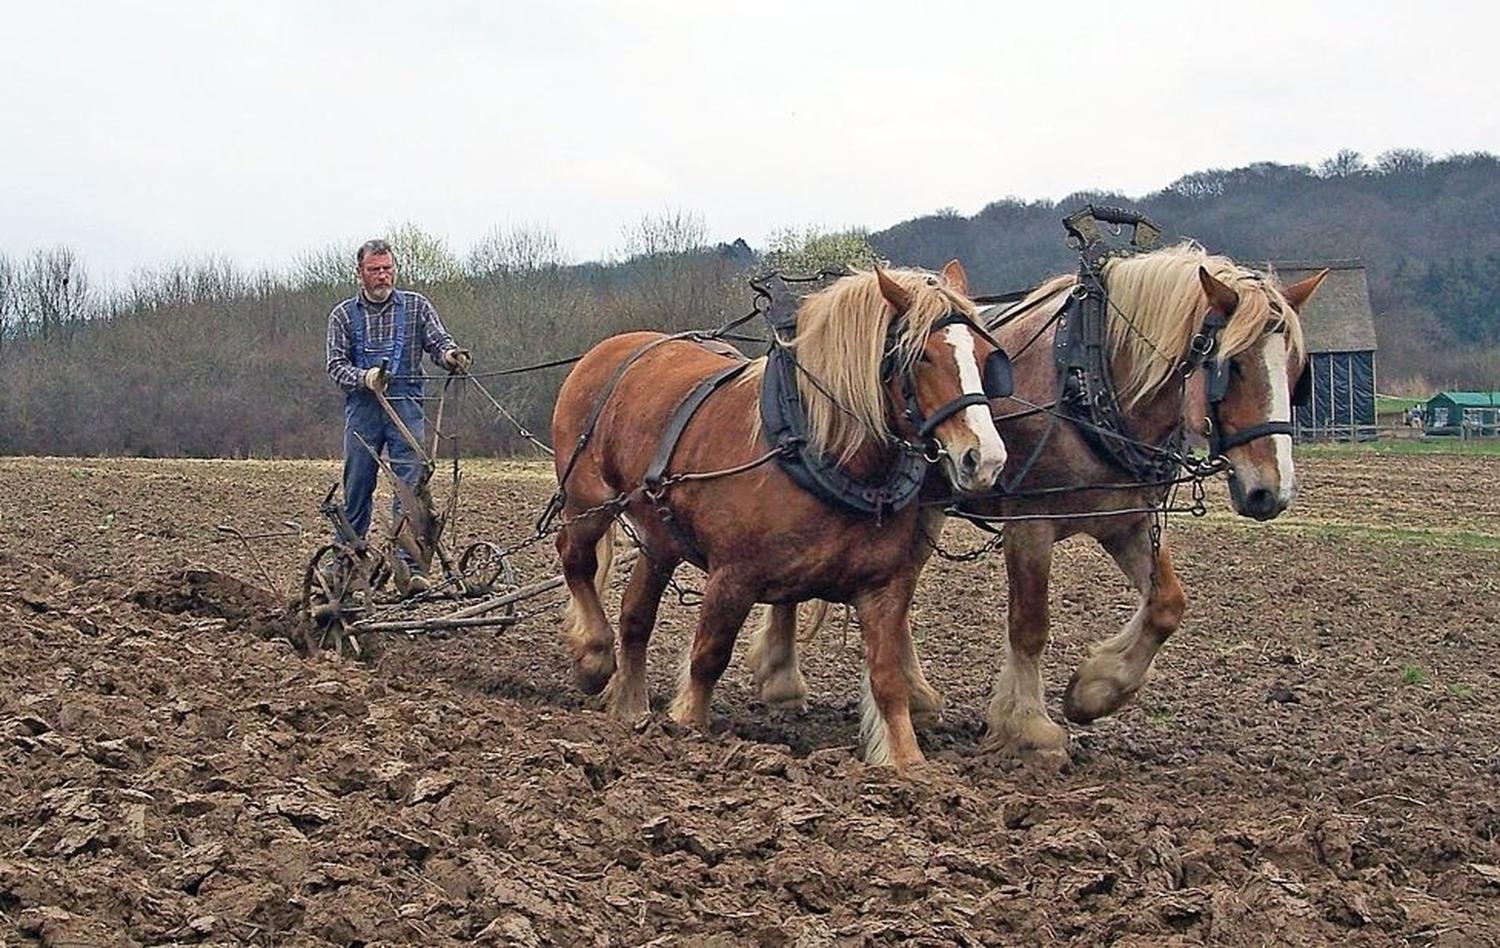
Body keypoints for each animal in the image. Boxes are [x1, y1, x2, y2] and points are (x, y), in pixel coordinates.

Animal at [552, 261, 1008, 768]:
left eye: (985, 355)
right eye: (921, 356)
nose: (985, 460)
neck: (823, 455)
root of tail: (610, 349)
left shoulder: (883, 587)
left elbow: (888, 680)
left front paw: (909, 764)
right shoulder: (733, 576)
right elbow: (708, 657)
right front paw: (685, 729)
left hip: (659, 539)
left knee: (635, 616)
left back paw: (631, 709)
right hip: (587, 501)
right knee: (575, 558)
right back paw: (594, 657)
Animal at [750, 246, 1326, 762]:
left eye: (1296, 370)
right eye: (1231, 366)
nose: (1270, 491)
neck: (1087, 377)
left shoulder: (1124, 519)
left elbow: (1167, 604)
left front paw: (1094, 691)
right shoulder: (1031, 521)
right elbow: (1029, 624)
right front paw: (1028, 727)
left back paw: (900, 696)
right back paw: (787, 679)